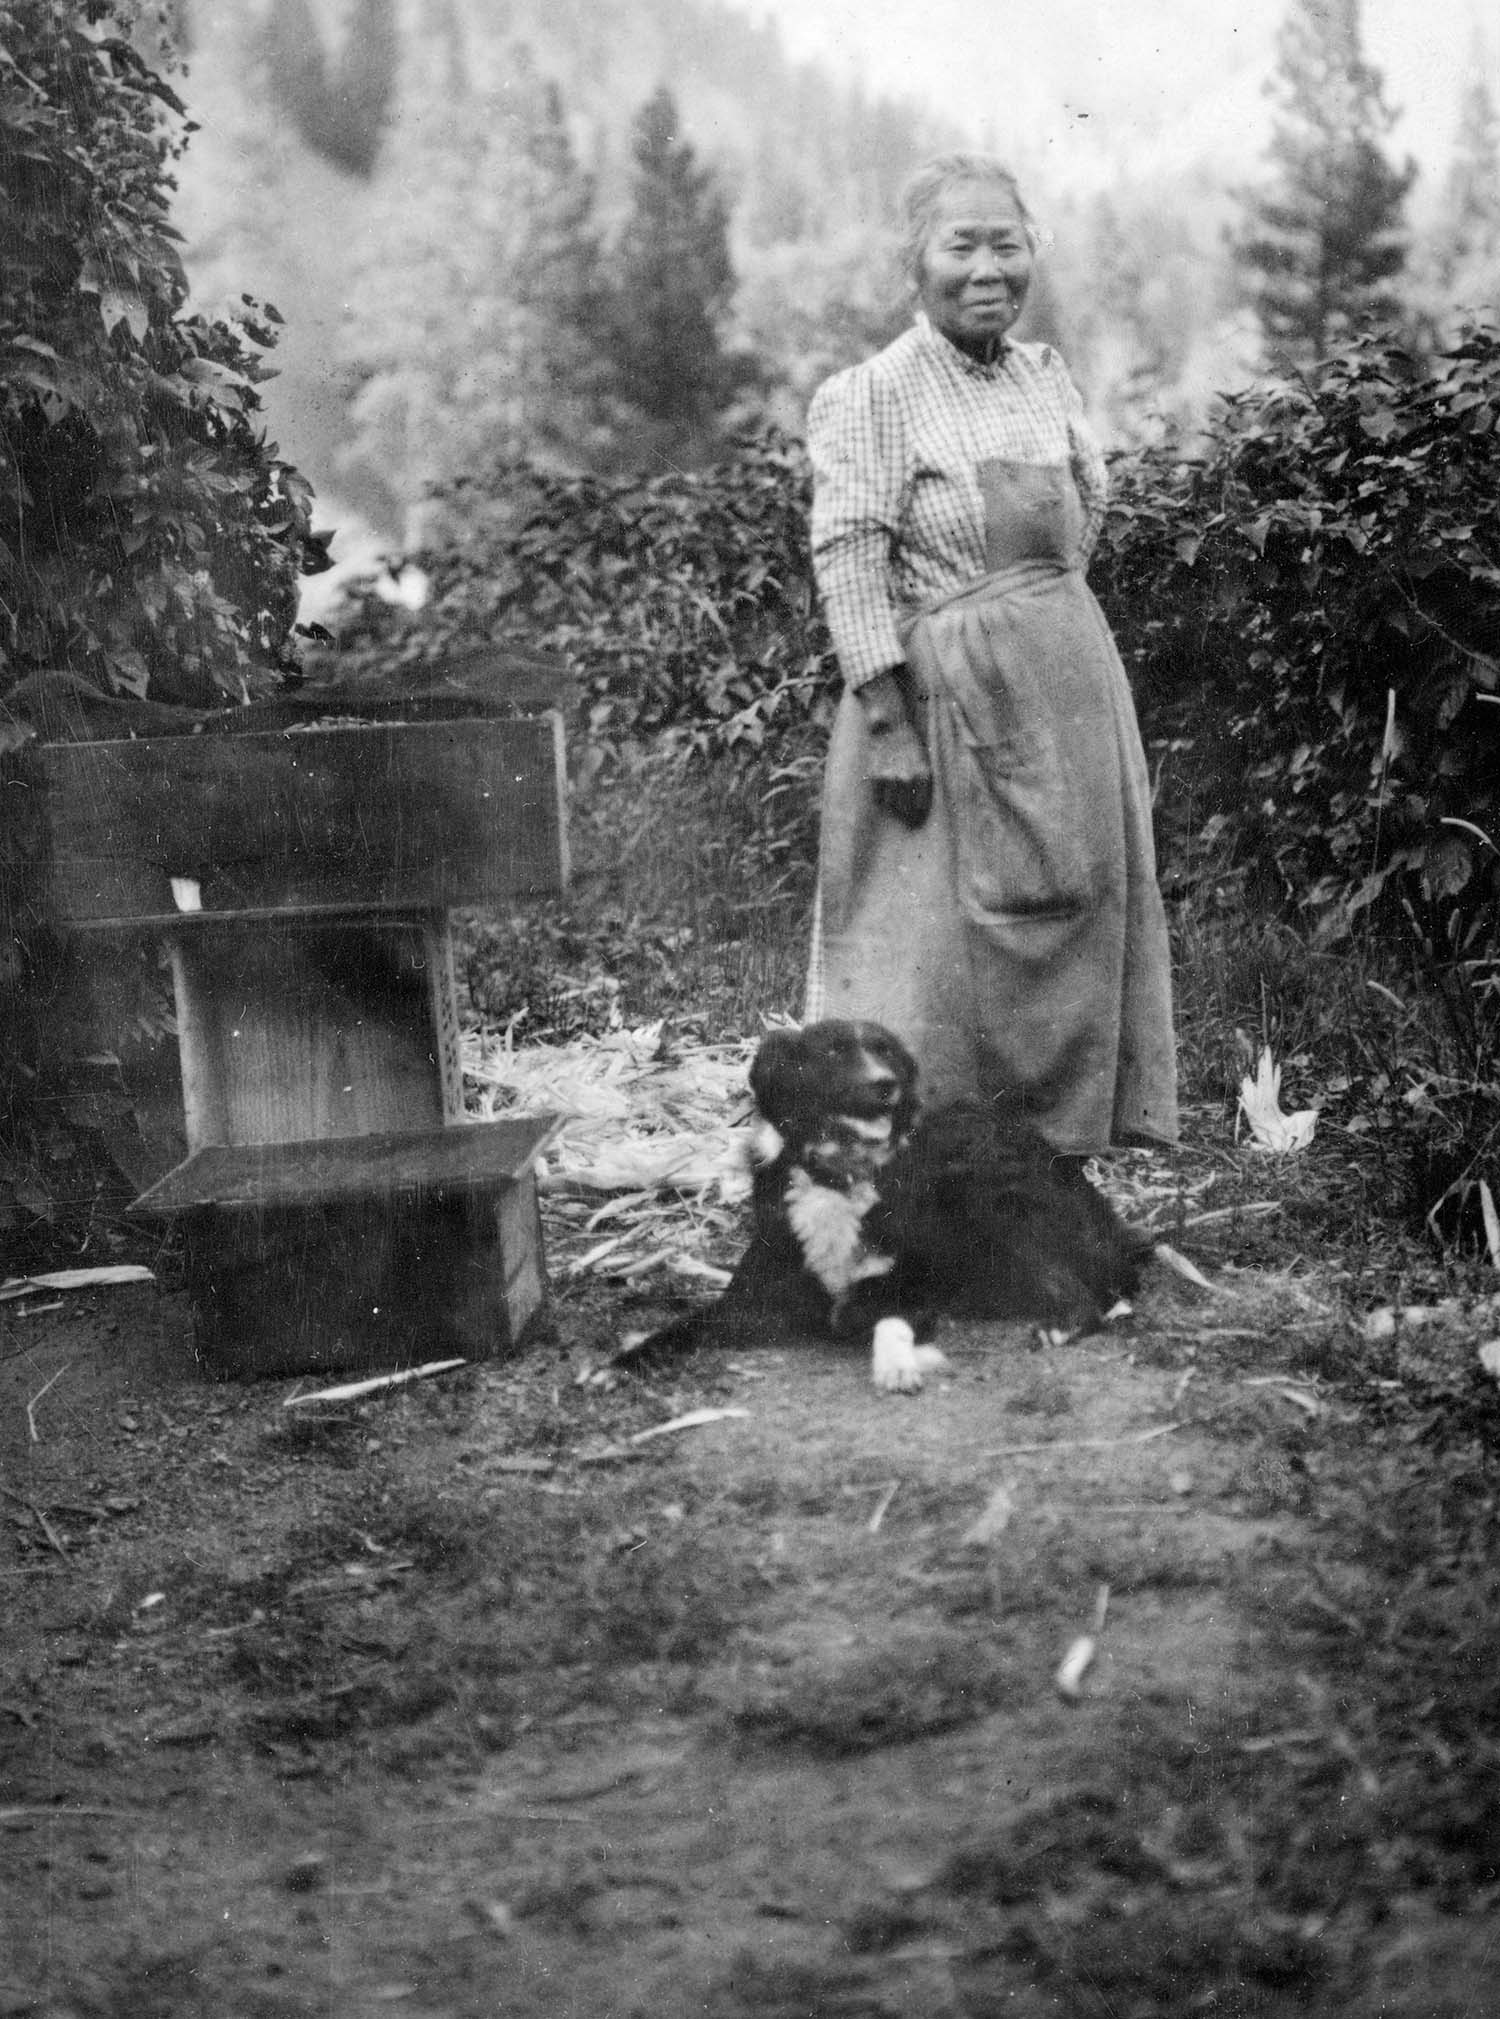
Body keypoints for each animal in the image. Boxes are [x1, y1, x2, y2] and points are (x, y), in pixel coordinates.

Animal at [621, 1017, 1146, 1397]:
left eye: (886, 1052)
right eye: (833, 1053)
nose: (885, 1084)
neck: (837, 1178)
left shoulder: (916, 1283)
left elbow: (876, 1312)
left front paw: (895, 1362)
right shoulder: (750, 1299)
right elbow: (680, 1328)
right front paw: (622, 1363)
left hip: (989, 1196)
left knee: (1088, 1296)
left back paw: (1061, 1325)